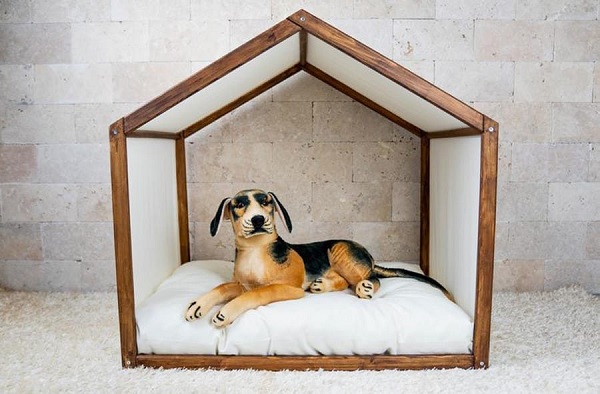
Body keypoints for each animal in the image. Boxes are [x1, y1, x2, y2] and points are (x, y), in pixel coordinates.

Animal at [185, 188, 452, 326]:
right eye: (239, 204)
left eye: (266, 202)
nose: (258, 219)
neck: (256, 249)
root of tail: (370, 257)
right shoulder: (241, 283)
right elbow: (223, 287)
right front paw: (197, 305)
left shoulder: (288, 288)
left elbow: (258, 293)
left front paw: (226, 311)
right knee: (345, 281)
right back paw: (321, 284)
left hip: (340, 250)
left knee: (370, 279)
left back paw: (365, 286)